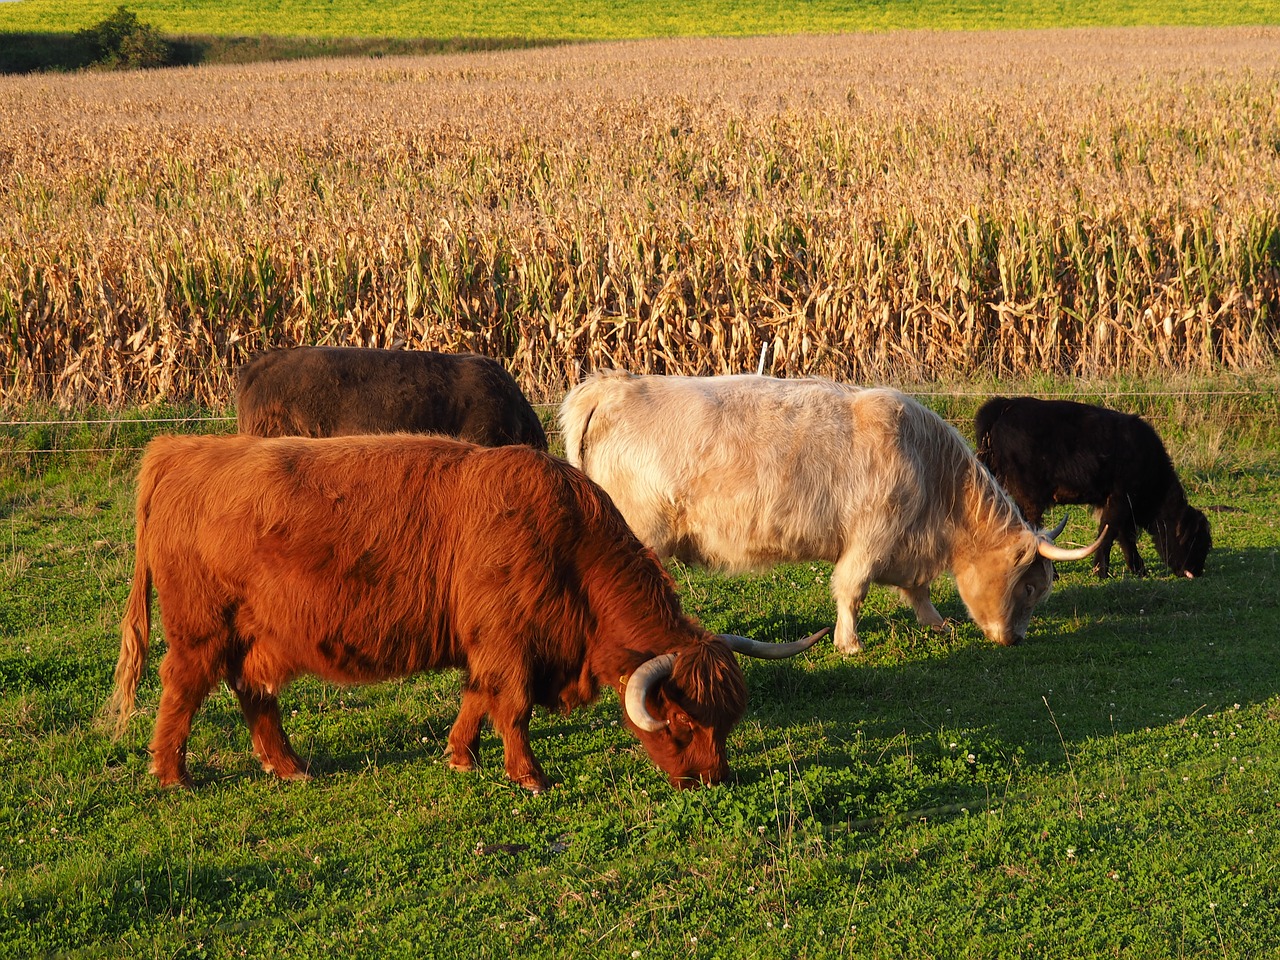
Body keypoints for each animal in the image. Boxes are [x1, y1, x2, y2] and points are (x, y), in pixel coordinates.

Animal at [104, 432, 814, 793]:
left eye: (728, 724)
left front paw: (460, 756)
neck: (567, 547)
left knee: (254, 692)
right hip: (201, 630)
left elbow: (477, 698)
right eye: (682, 723)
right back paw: (171, 775)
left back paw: (288, 765)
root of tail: (182, 451)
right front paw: (529, 777)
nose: (712, 779)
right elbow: (513, 709)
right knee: (181, 689)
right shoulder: (508, 643)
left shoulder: (490, 645)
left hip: (253, 635)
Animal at [555, 371, 1105, 660]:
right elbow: (852, 590)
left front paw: (938, 624)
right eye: (1030, 587)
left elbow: (918, 591)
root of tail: (612, 385)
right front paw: (850, 643)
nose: (1014, 639)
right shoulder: (870, 538)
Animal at [972, 396, 1213, 578]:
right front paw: (1102, 571)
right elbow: (1109, 534)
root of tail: (1004, 406)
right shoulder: (1120, 499)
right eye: (1196, 541)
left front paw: (1138, 569)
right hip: (1030, 500)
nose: (1197, 571)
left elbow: (1124, 536)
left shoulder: (1115, 502)